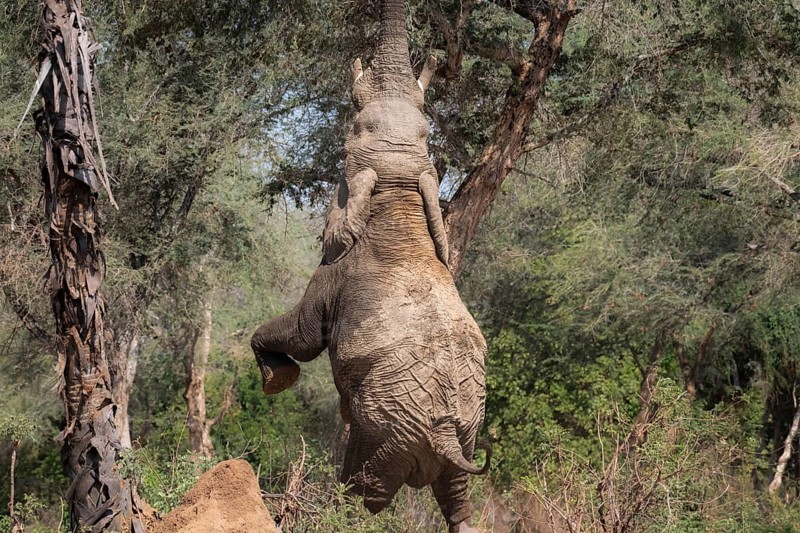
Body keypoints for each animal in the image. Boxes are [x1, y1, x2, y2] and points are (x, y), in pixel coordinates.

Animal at [250, 1, 489, 530]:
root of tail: (446, 433)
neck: (399, 183)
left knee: (365, 494)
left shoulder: (334, 273)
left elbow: (304, 335)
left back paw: (332, 510)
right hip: (464, 430)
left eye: (352, 129)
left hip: (386, 430)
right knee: (455, 497)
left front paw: (278, 382)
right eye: (426, 130)